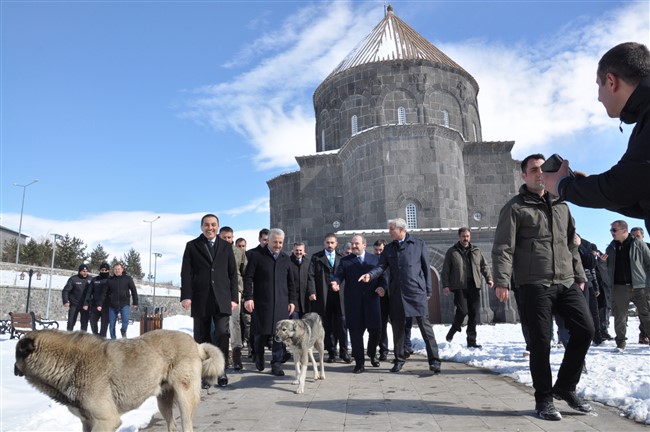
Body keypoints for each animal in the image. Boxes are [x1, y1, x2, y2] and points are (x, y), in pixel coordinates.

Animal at [13, 330, 224, 430]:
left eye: (17, 354)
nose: (13, 369)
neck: (70, 361)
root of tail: (196, 344)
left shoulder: (106, 420)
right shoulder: (87, 422)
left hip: (184, 397)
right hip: (163, 400)